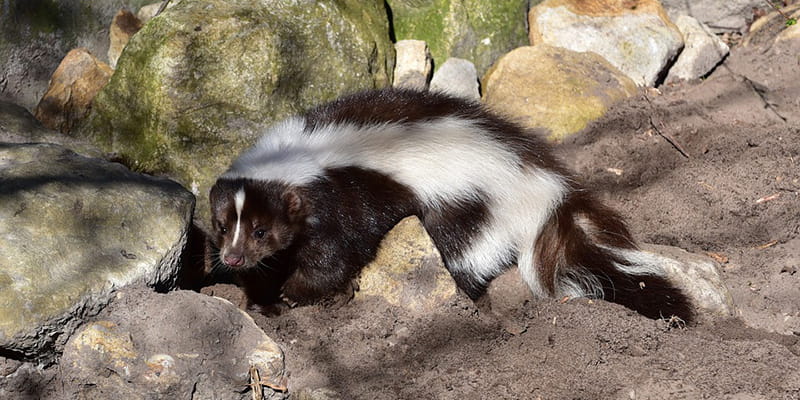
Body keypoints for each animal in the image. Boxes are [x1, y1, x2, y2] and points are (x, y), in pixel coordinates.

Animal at [209, 88, 692, 322]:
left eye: (261, 230)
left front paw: (299, 294)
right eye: (220, 225)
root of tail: (542, 182)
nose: (231, 258)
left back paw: (475, 308)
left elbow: (335, 254)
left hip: (466, 207)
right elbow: (277, 264)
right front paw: (265, 300)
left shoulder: (345, 196)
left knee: (465, 259)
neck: (298, 156)